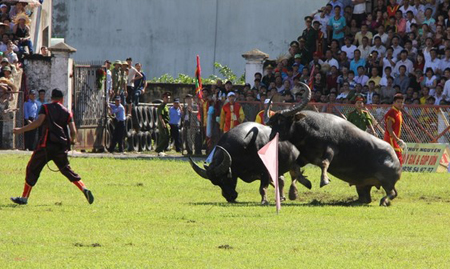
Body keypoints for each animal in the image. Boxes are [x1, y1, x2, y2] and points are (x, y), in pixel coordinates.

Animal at [264, 81, 400, 205]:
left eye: (281, 120)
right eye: (272, 122)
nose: (271, 137)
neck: (309, 131)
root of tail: (396, 161)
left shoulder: (331, 149)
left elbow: (324, 163)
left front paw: (324, 180)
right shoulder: (306, 157)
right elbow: (294, 169)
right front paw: (297, 190)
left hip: (387, 181)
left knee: (392, 193)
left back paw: (384, 201)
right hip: (362, 185)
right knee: (366, 198)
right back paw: (353, 202)